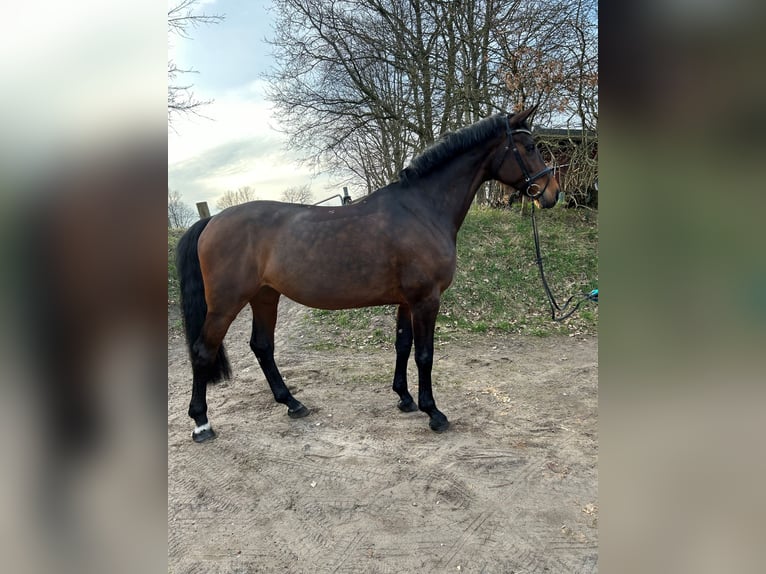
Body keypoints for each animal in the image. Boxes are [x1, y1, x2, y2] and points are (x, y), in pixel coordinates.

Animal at [177, 106, 560, 444]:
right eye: (529, 147)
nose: (552, 194)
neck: (422, 209)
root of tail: (211, 220)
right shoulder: (426, 300)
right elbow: (425, 354)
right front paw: (433, 413)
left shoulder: (407, 302)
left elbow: (403, 345)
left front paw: (404, 399)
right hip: (226, 303)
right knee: (203, 351)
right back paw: (201, 423)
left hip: (265, 296)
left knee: (262, 346)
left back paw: (293, 403)